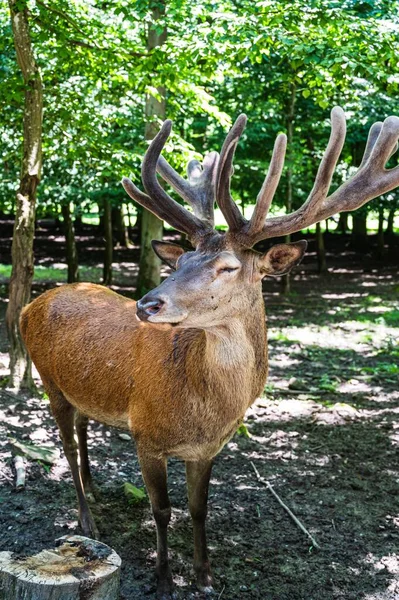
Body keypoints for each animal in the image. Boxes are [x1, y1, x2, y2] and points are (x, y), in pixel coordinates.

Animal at [20, 109, 399, 600]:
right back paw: (87, 519)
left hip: (78, 388)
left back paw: (96, 488)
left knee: (83, 431)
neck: (205, 410)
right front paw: (164, 578)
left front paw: (204, 575)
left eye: (228, 266)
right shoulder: (145, 434)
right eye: (180, 262)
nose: (147, 304)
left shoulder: (208, 448)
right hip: (47, 380)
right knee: (64, 444)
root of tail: (30, 304)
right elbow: (162, 510)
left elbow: (200, 509)